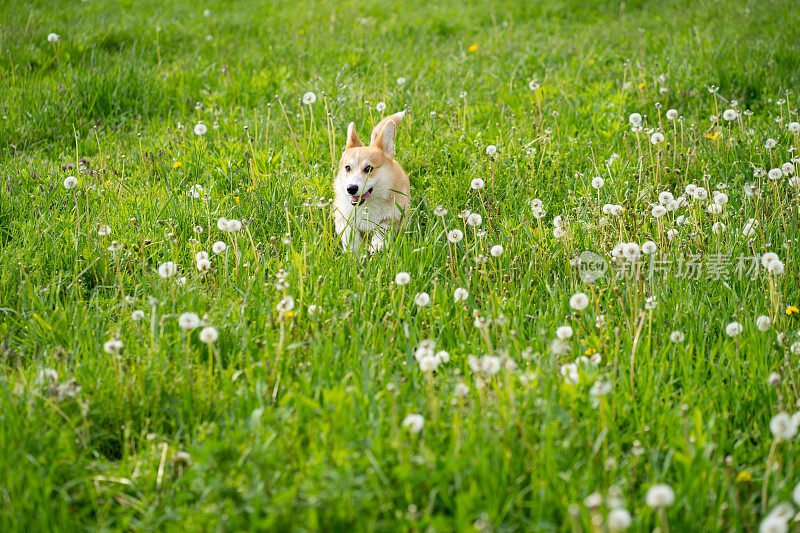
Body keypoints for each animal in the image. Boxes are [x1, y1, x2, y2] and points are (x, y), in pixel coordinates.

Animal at [332, 109, 410, 252]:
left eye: (368, 168)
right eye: (347, 168)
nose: (351, 189)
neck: (368, 205)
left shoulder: (393, 217)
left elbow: (381, 230)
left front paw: (376, 246)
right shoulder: (343, 218)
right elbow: (350, 236)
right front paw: (354, 253)